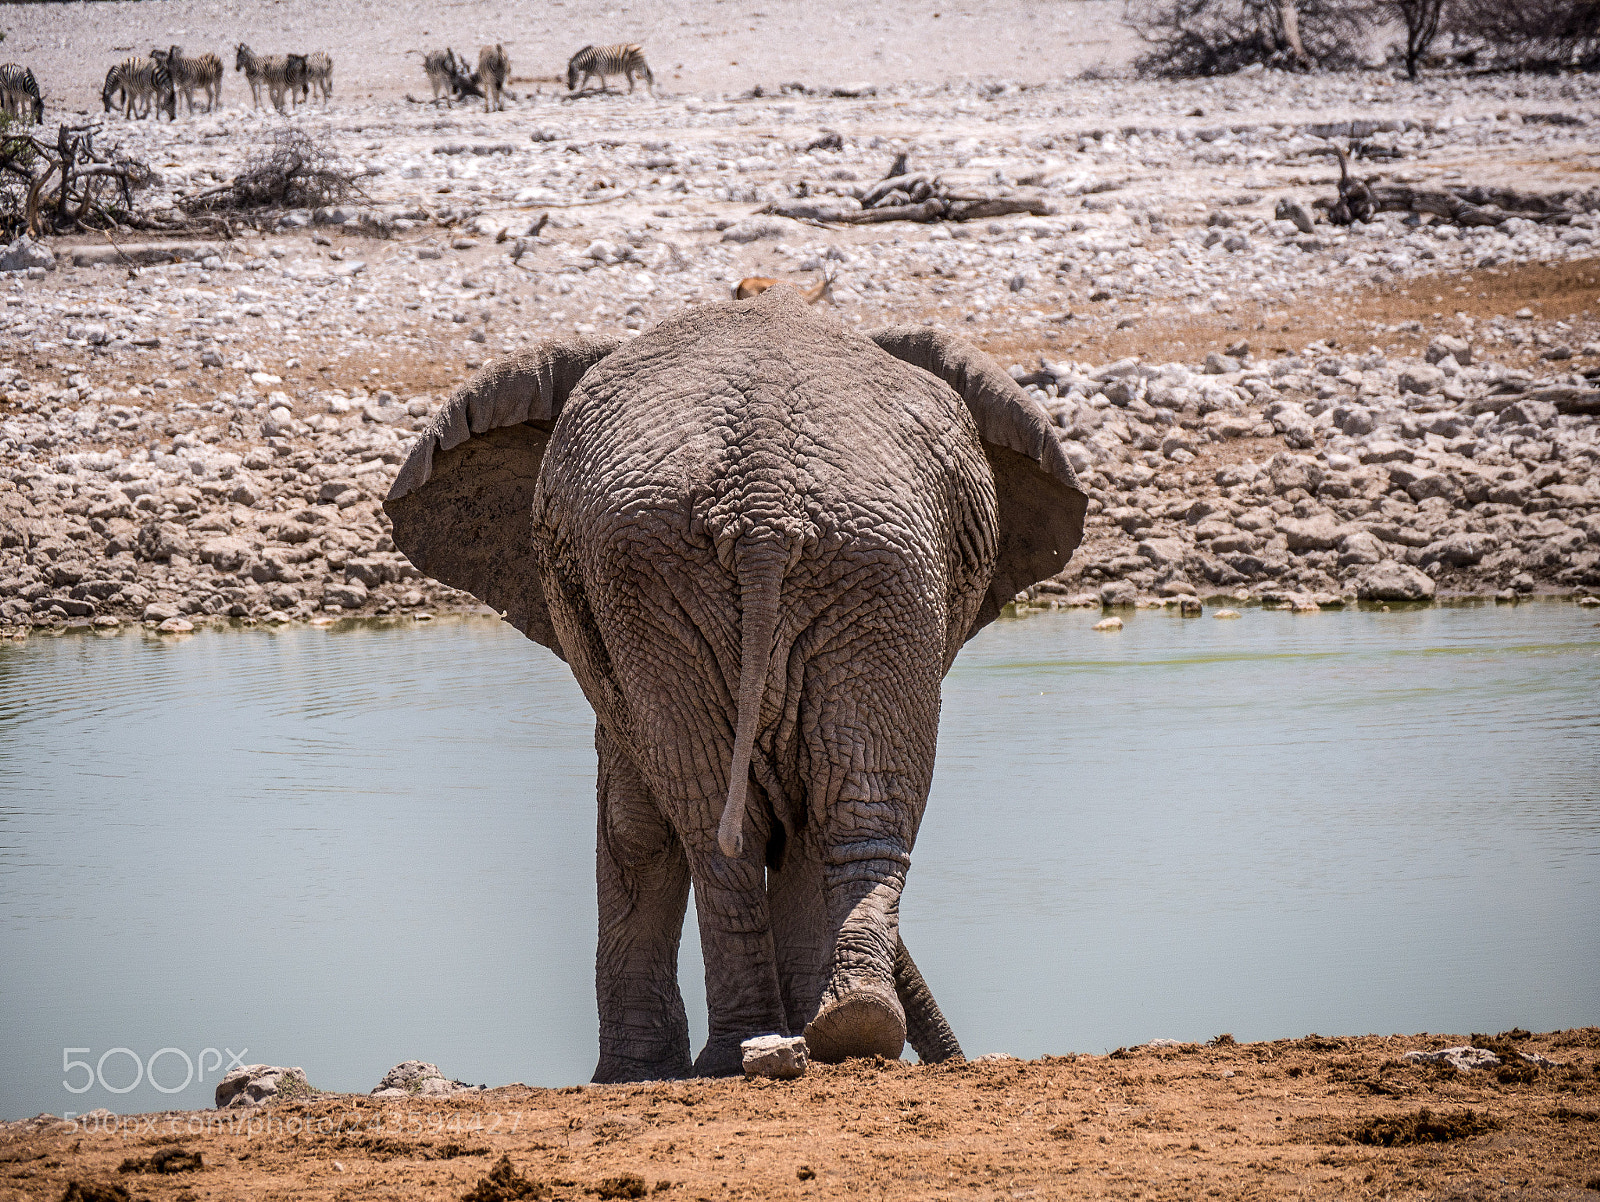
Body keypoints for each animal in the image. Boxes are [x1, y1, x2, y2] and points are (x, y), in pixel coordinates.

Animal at [384, 287, 1086, 1081]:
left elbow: (635, 820)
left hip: (806, 567)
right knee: (828, 802)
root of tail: (763, 506)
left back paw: (784, 1043)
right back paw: (836, 1032)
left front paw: (632, 1074)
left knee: (757, 812)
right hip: (828, 569)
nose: (954, 1056)